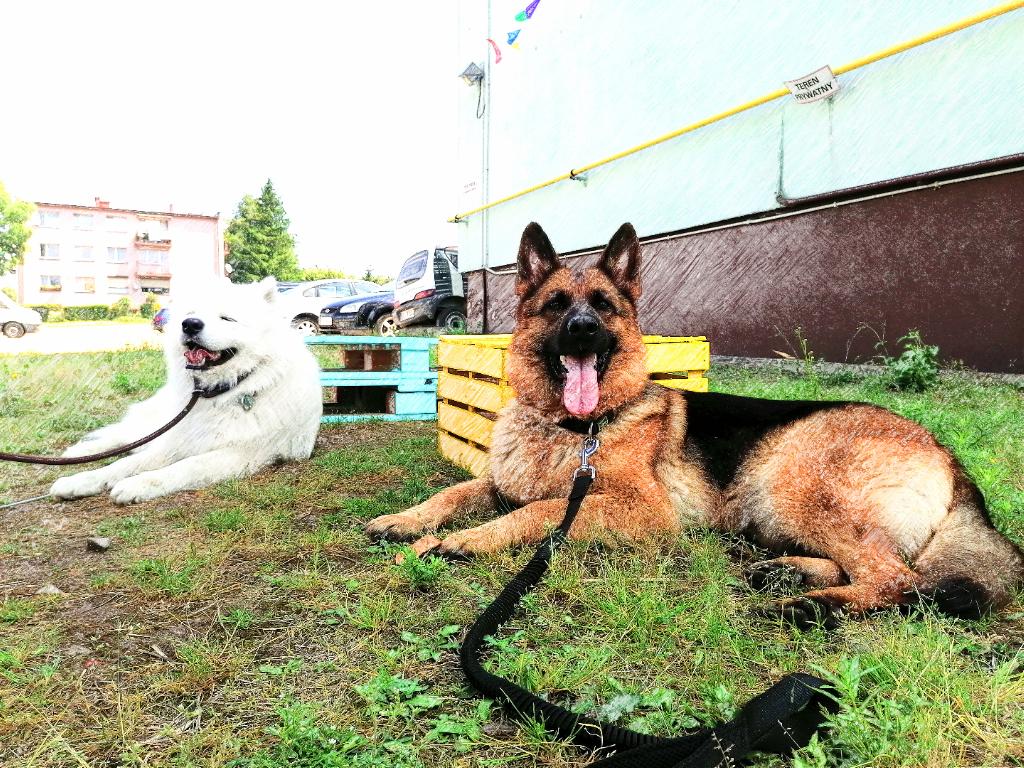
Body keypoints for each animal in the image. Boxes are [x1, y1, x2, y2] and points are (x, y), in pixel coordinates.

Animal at [50, 276, 319, 505]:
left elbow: (186, 466)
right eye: (190, 315)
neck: (226, 391)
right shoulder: (179, 440)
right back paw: (79, 452)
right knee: (127, 436)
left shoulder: (244, 452)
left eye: (227, 319)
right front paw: (79, 481)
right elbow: (125, 464)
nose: (189, 325)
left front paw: (137, 484)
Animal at [370, 221, 1024, 618]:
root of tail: (946, 456)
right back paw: (788, 575)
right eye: (556, 306)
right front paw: (407, 520)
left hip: (792, 477)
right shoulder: (497, 481)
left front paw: (461, 541)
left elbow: (541, 512)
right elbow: (455, 492)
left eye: (603, 307)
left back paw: (808, 606)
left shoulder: (638, 510)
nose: (582, 329)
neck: (573, 428)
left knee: (898, 579)